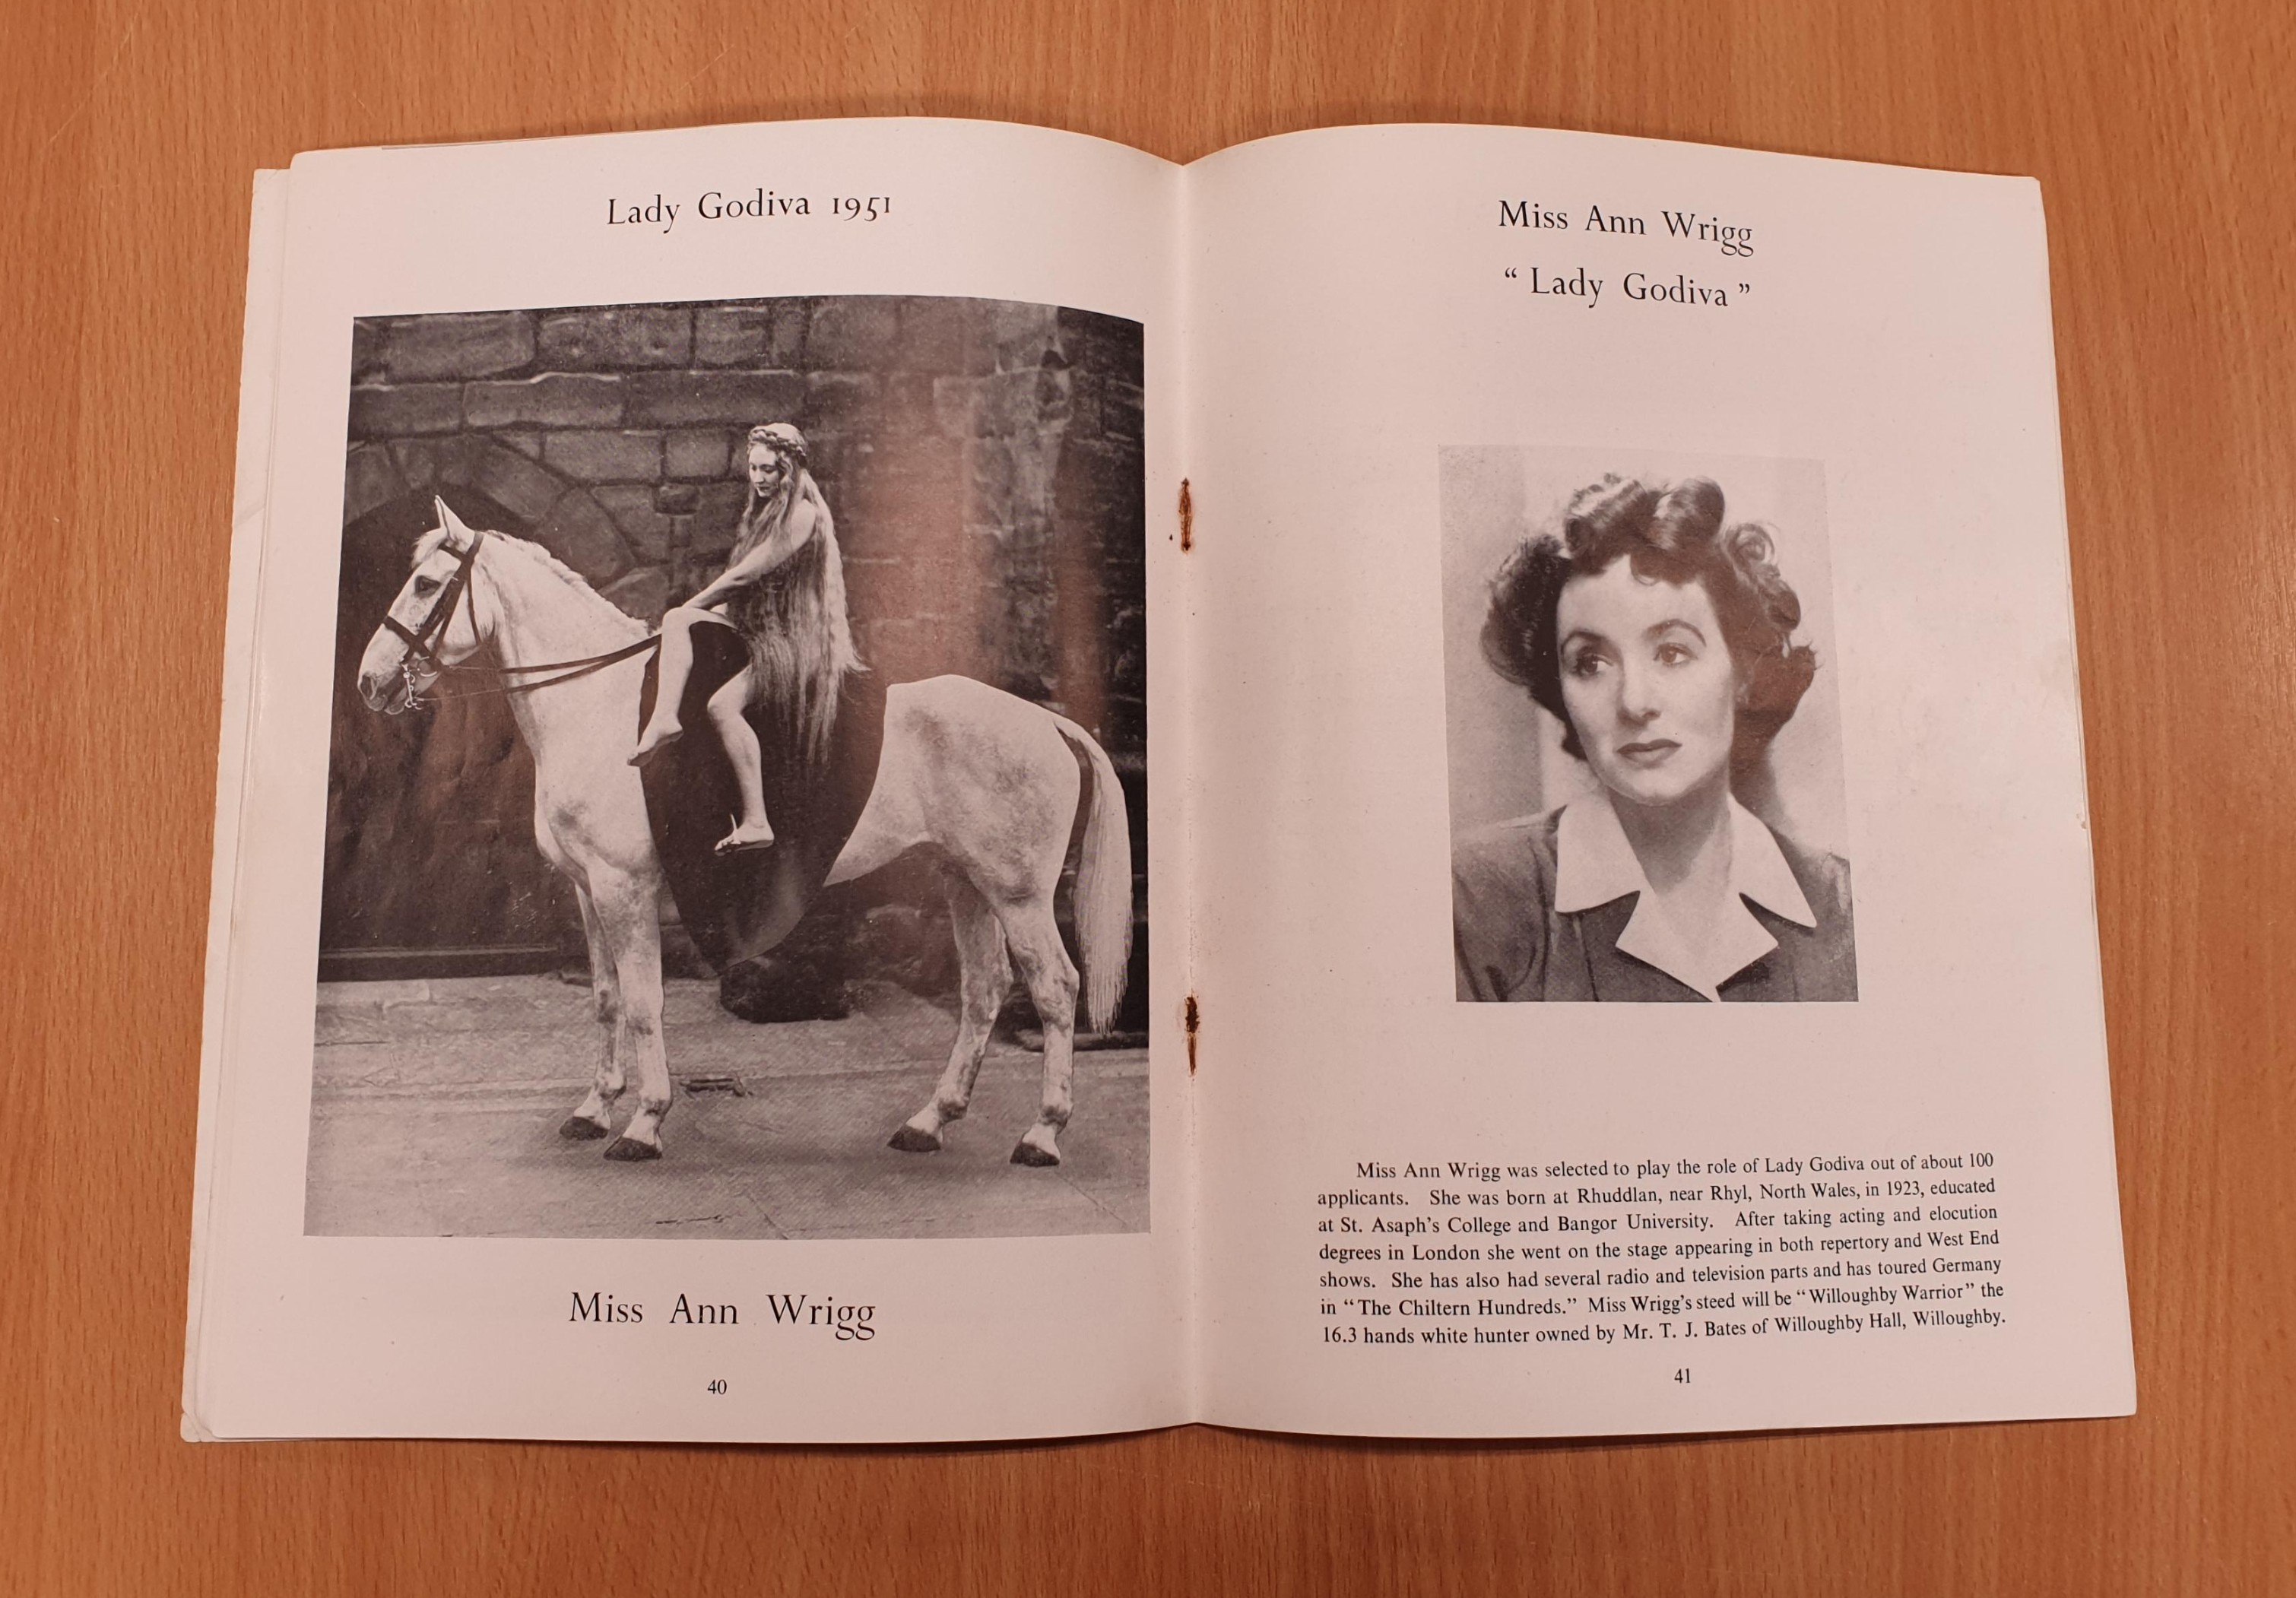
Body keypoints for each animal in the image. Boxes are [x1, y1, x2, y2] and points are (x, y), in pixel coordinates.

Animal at [354, 505, 1134, 1166]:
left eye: (426, 583)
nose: (369, 682)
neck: (600, 710)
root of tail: (1047, 722)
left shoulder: (623, 887)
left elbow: (643, 1004)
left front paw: (644, 1123)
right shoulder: (586, 889)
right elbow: (606, 998)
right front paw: (594, 1109)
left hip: (1018, 894)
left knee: (1055, 988)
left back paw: (1042, 1133)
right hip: (965, 882)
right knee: (983, 990)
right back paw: (929, 1121)